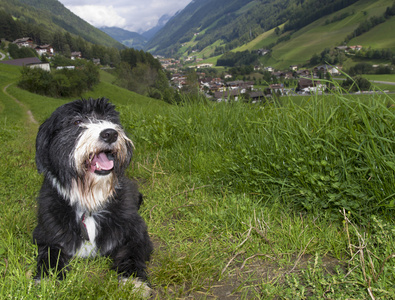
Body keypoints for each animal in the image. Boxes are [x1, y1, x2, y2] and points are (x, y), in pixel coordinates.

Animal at [32, 97, 153, 296]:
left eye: (109, 118)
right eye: (76, 121)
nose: (110, 134)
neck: (90, 201)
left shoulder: (136, 231)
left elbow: (131, 252)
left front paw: (134, 281)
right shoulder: (45, 233)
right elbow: (50, 253)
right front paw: (47, 279)